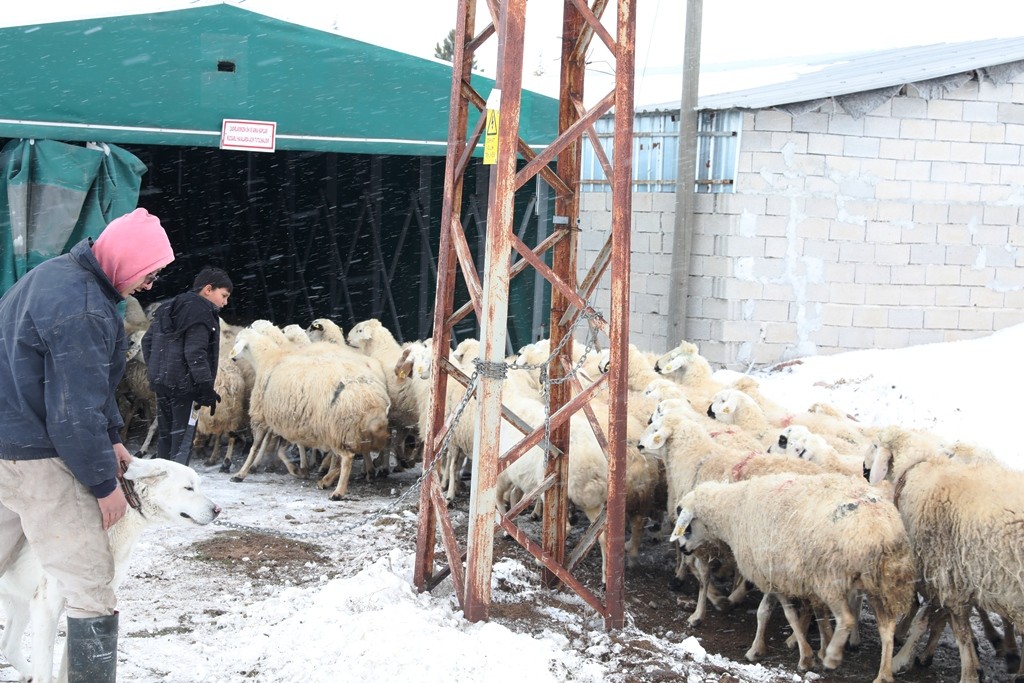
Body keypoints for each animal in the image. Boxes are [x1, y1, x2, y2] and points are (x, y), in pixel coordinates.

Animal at [0, 458, 222, 683]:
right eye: (189, 488)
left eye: (198, 486)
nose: (218, 509)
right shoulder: (46, 607)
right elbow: (45, 670)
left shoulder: (86, 602)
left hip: (22, 605)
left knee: (8, 646)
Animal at [671, 475, 913, 683]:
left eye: (687, 526)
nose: (682, 549)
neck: (734, 510)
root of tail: (881, 530)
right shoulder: (779, 575)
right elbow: (774, 612)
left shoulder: (776, 576)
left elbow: (786, 615)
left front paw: (805, 657)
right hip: (880, 583)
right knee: (886, 627)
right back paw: (884, 673)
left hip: (831, 579)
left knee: (846, 618)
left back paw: (833, 657)